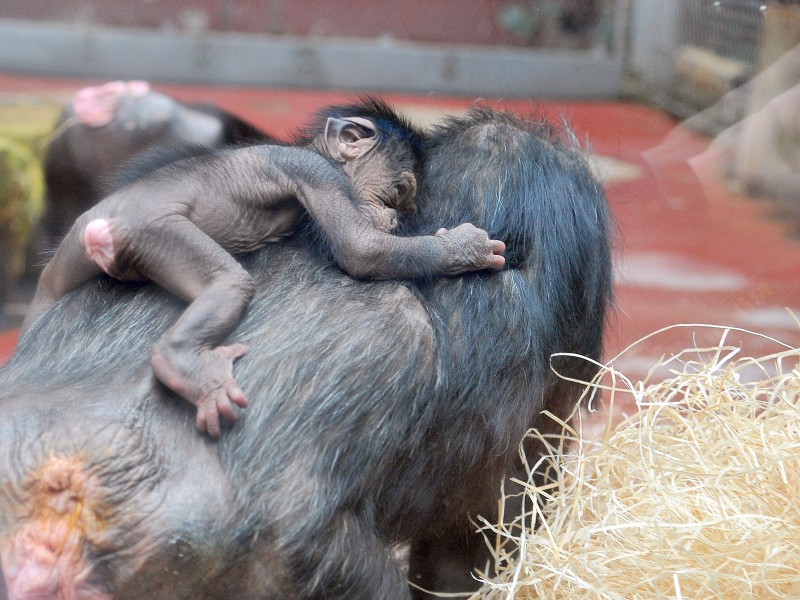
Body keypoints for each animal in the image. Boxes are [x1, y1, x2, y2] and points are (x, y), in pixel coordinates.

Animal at [23, 97, 506, 436]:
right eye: (399, 192)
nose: (396, 212)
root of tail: (90, 228)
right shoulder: (316, 174)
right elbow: (361, 248)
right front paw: (464, 246)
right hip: (151, 231)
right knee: (228, 282)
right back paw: (187, 368)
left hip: (77, 262)